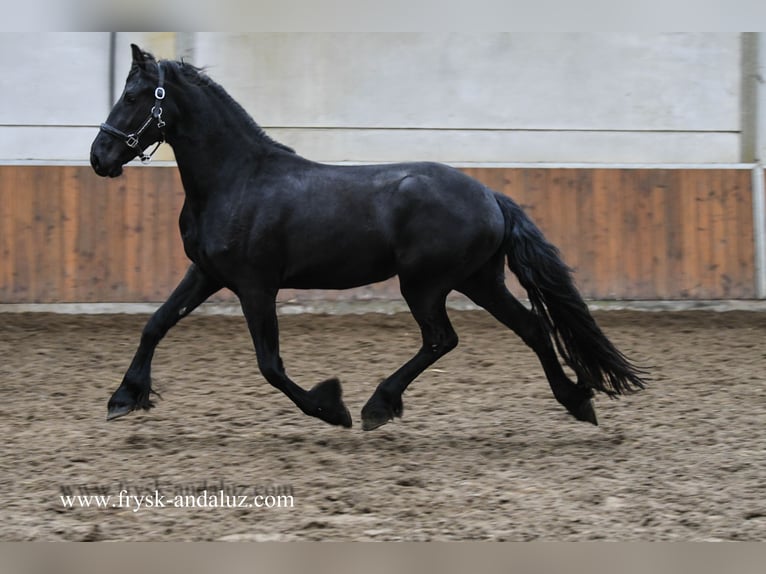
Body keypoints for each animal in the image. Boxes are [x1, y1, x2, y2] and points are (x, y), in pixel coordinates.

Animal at [90, 45, 644, 432]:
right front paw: (124, 398)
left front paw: (331, 408)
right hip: (478, 280)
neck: (237, 179)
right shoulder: (207, 273)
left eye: (134, 97)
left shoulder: (255, 286)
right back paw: (577, 401)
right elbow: (156, 324)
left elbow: (270, 365)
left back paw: (379, 404)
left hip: (425, 284)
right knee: (531, 327)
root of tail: (490, 196)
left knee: (443, 338)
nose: (99, 157)